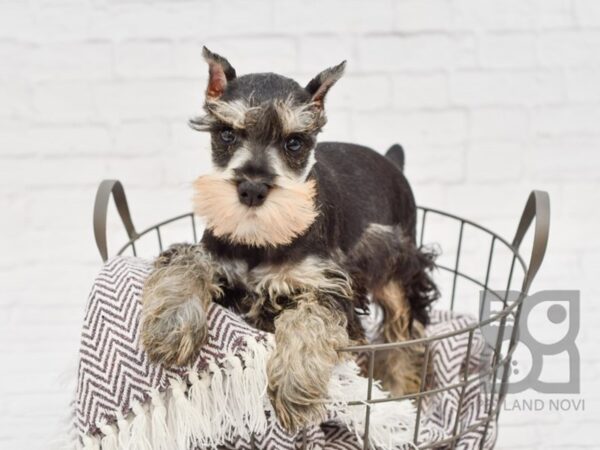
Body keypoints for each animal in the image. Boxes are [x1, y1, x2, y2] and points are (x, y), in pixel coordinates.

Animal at [142, 47, 440, 430]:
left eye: (294, 142)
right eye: (226, 134)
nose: (252, 189)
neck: (261, 239)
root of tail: (392, 162)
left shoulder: (329, 285)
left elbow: (308, 318)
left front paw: (293, 385)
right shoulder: (215, 255)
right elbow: (188, 258)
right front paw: (171, 324)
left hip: (399, 271)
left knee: (405, 338)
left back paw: (402, 394)